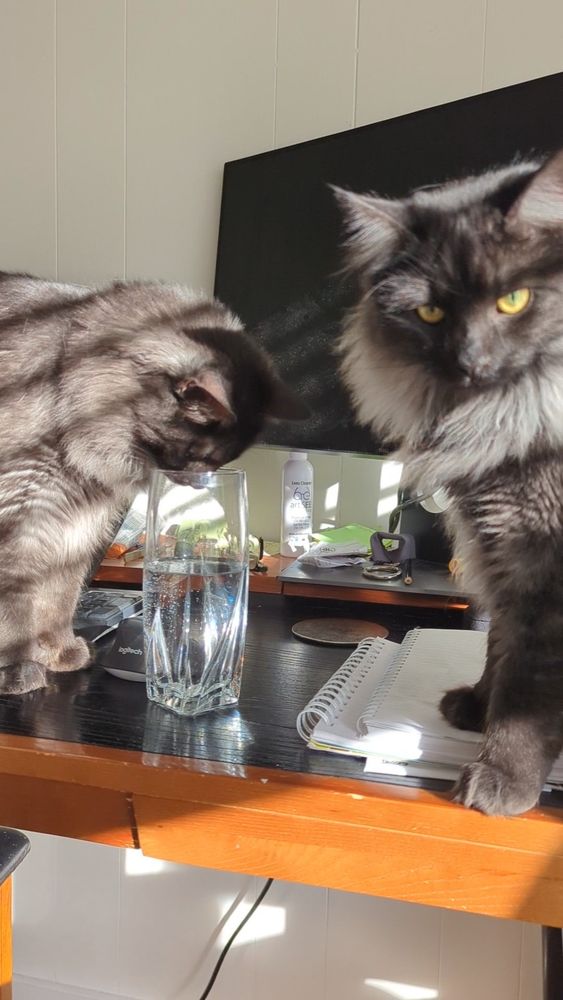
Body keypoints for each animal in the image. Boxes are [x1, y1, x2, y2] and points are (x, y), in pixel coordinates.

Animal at [0, 274, 305, 696]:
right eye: (199, 453)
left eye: (221, 462)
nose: (199, 484)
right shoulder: (21, 513)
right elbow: (15, 608)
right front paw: (18, 668)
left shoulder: (73, 527)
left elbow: (57, 600)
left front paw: (59, 652)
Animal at [335, 148, 563, 816]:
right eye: (430, 312)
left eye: (514, 300)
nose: (470, 359)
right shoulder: (497, 553)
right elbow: (500, 650)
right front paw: (477, 709)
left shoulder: (541, 566)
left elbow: (528, 689)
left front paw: (501, 780)